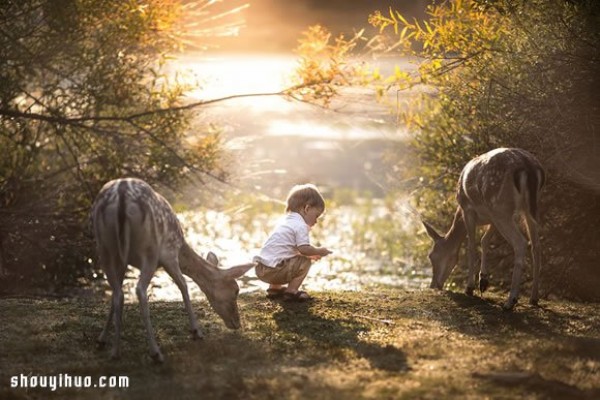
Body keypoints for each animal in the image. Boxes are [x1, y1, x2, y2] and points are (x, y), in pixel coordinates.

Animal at [91, 177, 255, 360]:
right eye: (236, 290)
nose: (237, 323)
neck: (181, 246)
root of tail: (121, 197)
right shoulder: (169, 253)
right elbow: (183, 284)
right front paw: (196, 331)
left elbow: (114, 295)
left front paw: (101, 339)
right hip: (150, 250)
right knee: (140, 290)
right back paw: (155, 352)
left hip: (104, 247)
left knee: (119, 293)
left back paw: (114, 351)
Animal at [422, 148, 544, 310]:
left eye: (431, 256)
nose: (434, 285)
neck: (459, 212)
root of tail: (528, 166)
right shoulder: (492, 218)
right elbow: (484, 240)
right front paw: (483, 281)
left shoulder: (468, 210)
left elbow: (471, 246)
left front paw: (469, 288)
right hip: (529, 208)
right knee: (536, 245)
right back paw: (534, 298)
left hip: (499, 206)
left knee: (521, 243)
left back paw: (510, 301)